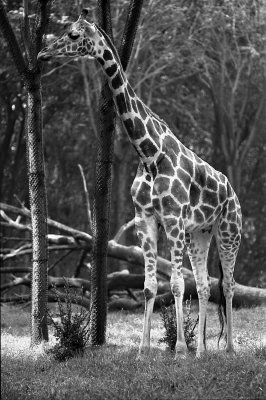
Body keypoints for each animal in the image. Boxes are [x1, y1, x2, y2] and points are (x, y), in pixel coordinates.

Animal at [38, 10, 242, 360]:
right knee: (205, 285)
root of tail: (233, 191)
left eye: (74, 35)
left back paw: (227, 349)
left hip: (229, 230)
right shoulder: (145, 219)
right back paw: (202, 351)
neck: (149, 154)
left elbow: (175, 284)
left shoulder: (172, 218)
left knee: (227, 285)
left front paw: (178, 350)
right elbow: (150, 287)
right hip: (200, 233)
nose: (42, 53)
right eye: (63, 30)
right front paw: (143, 350)